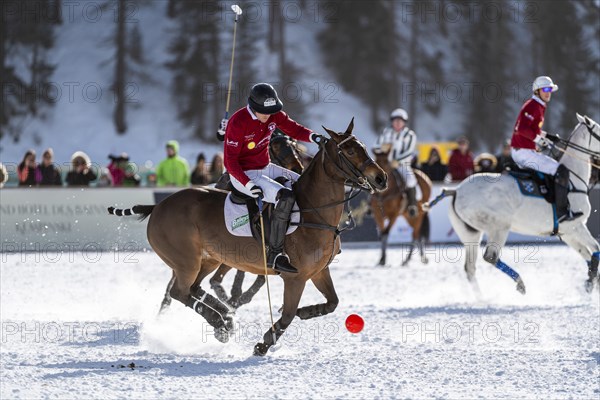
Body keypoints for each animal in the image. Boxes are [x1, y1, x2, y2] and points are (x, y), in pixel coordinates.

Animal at [110, 119, 386, 356]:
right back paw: (220, 322)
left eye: (362, 146)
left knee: (194, 288)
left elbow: (332, 303)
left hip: (209, 258)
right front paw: (262, 345)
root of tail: (157, 206)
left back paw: (226, 318)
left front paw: (306, 312)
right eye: (348, 151)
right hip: (186, 260)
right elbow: (287, 315)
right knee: (180, 291)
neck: (313, 210)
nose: (381, 178)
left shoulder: (319, 271)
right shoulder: (295, 278)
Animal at [424, 113, 596, 294]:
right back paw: (519, 283)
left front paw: (592, 281)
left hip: (470, 234)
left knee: (470, 268)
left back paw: (482, 297)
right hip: (499, 226)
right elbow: (595, 250)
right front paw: (591, 282)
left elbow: (587, 253)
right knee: (490, 256)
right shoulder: (576, 225)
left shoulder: (567, 232)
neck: (573, 179)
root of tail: (456, 190)